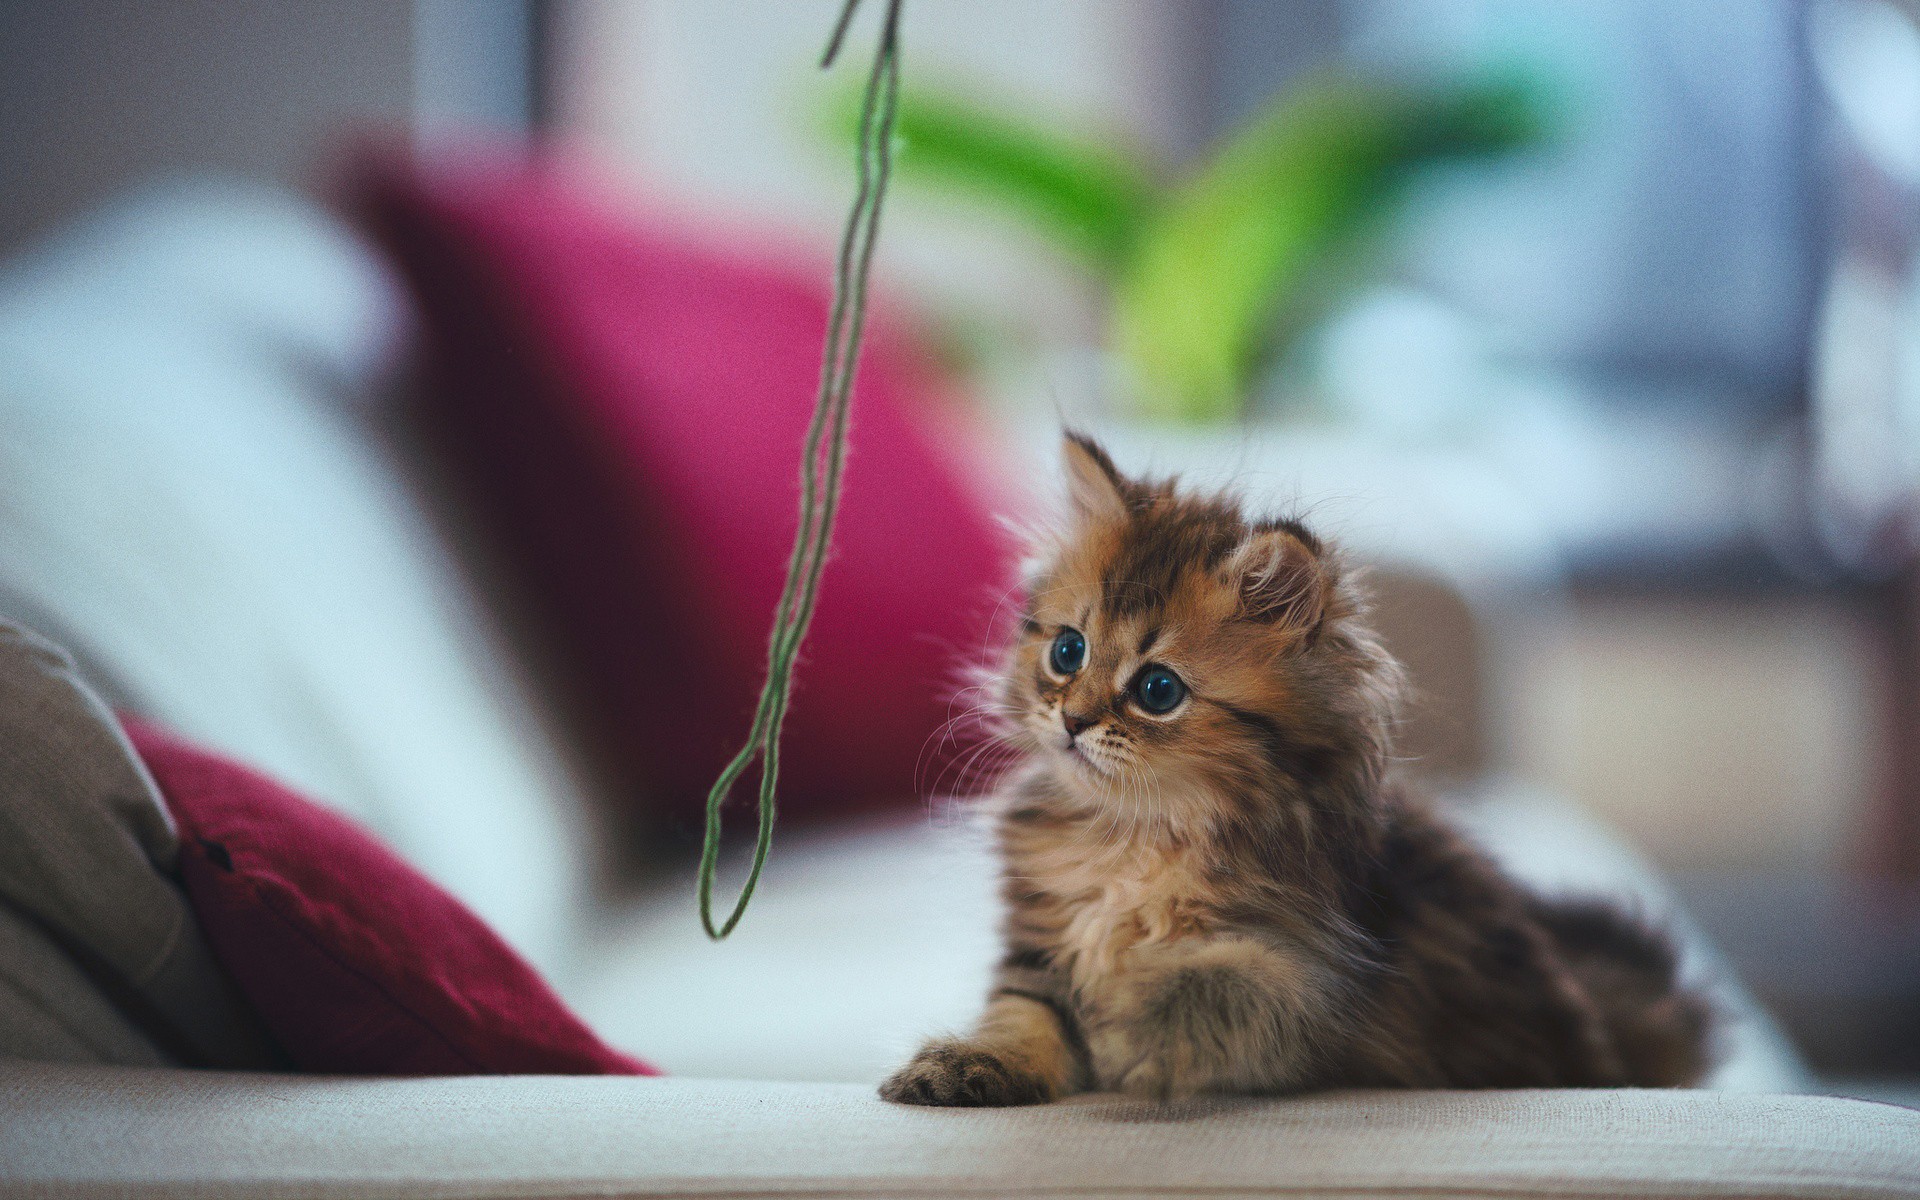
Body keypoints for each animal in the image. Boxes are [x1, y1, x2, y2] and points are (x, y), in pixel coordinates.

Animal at [879, 432, 1712, 1105]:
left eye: (1157, 691)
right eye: (1067, 651)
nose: (1074, 720)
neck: (1136, 836)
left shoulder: (1319, 978)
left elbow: (1224, 984)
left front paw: (1141, 1023)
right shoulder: (1042, 951)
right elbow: (1024, 1016)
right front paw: (970, 1064)